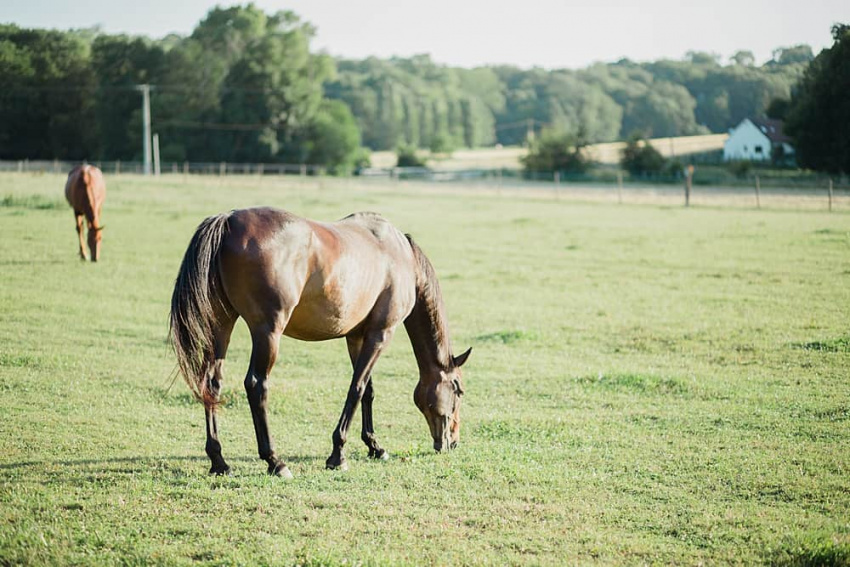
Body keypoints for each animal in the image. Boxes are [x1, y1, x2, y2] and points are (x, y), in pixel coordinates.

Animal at [169, 207, 471, 478]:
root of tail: (229, 220)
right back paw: (274, 461)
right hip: (267, 332)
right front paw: (338, 455)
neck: (400, 256)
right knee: (256, 385)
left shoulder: (357, 336)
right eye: (458, 390)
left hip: (222, 325)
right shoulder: (381, 334)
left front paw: (375, 446)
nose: (452, 441)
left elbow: (368, 390)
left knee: (212, 384)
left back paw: (219, 461)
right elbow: (356, 388)